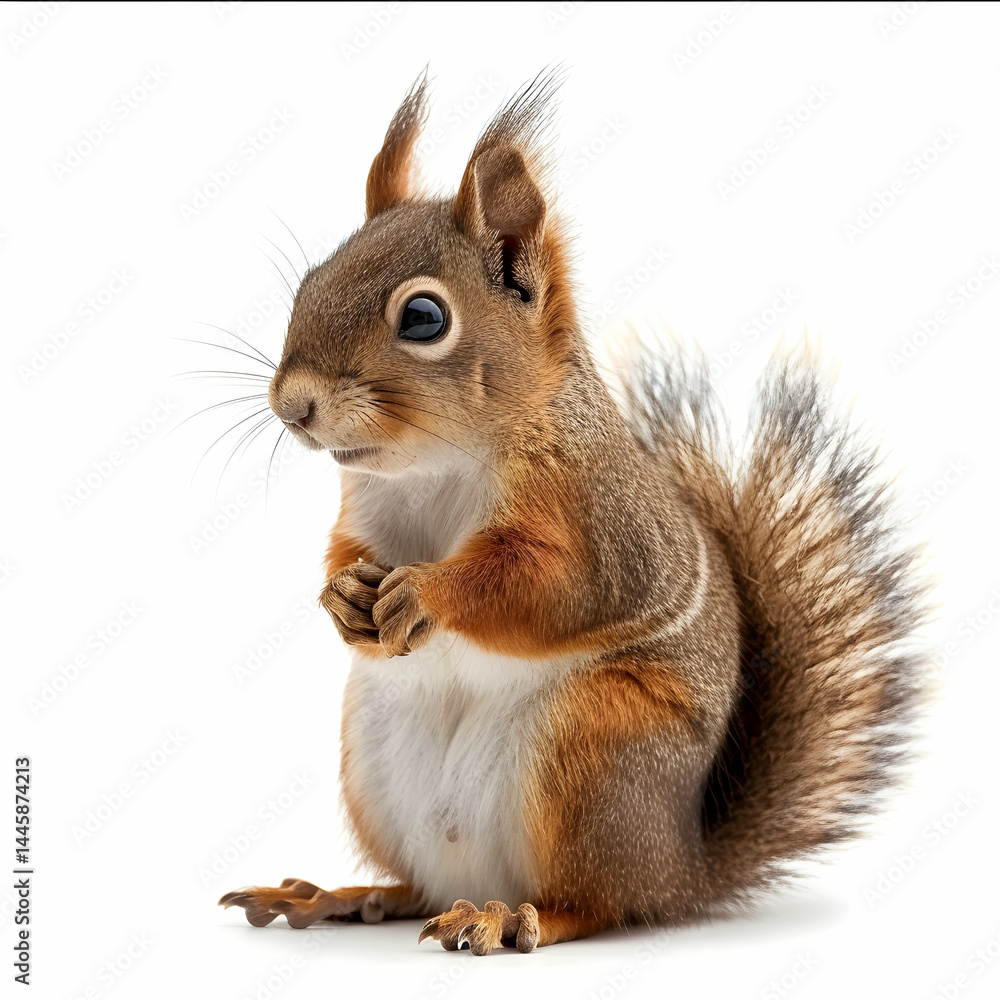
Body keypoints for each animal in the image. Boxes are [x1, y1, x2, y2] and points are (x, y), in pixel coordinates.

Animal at [218, 70, 929, 955]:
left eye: (423, 318)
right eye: (311, 281)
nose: (293, 404)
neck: (433, 466)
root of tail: (680, 868)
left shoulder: (605, 529)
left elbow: (551, 589)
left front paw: (427, 591)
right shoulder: (367, 513)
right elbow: (345, 552)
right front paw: (341, 596)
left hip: (596, 756)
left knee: (594, 902)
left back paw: (508, 916)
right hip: (377, 755)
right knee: (417, 889)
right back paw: (342, 895)